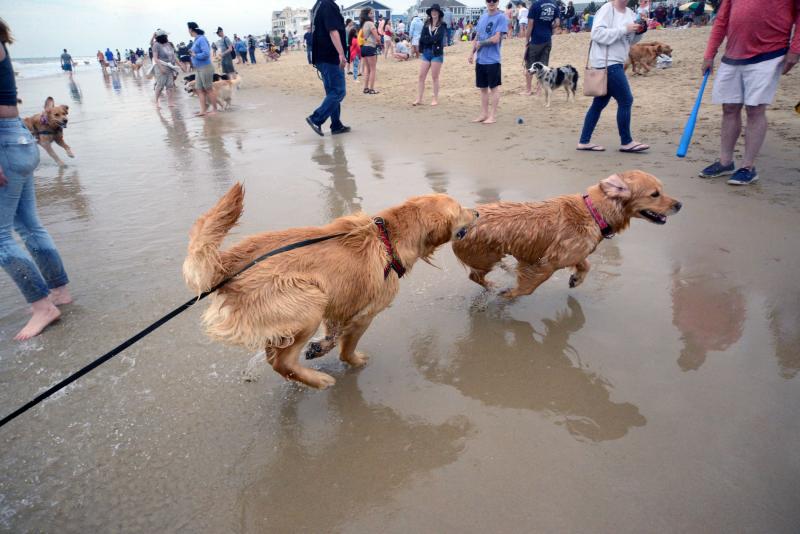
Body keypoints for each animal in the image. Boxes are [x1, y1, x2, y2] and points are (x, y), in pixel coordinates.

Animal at [184, 184, 478, 390]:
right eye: (460, 209)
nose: (476, 211)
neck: (388, 239)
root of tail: (227, 264)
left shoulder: (341, 302)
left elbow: (333, 333)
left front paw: (320, 347)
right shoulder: (366, 313)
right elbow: (347, 345)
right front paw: (354, 361)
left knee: (273, 354)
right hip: (309, 299)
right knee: (281, 362)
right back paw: (319, 381)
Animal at [454, 170, 684, 300]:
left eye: (661, 190)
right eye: (655, 194)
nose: (680, 204)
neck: (594, 212)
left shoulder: (574, 253)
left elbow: (586, 264)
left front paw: (576, 278)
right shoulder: (548, 263)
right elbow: (529, 287)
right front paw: (510, 293)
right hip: (487, 257)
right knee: (474, 276)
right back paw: (493, 286)